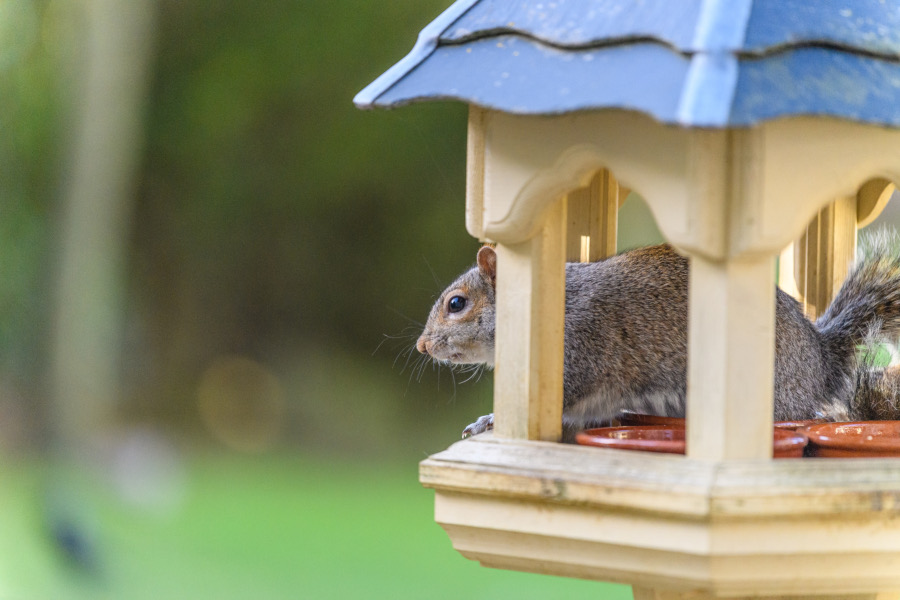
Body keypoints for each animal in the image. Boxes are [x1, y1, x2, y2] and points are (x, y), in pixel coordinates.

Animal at [415, 234, 900, 439]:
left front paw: (492, 421)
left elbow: (556, 402)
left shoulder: (580, 353)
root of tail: (821, 361)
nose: (422, 345)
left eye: (456, 304)